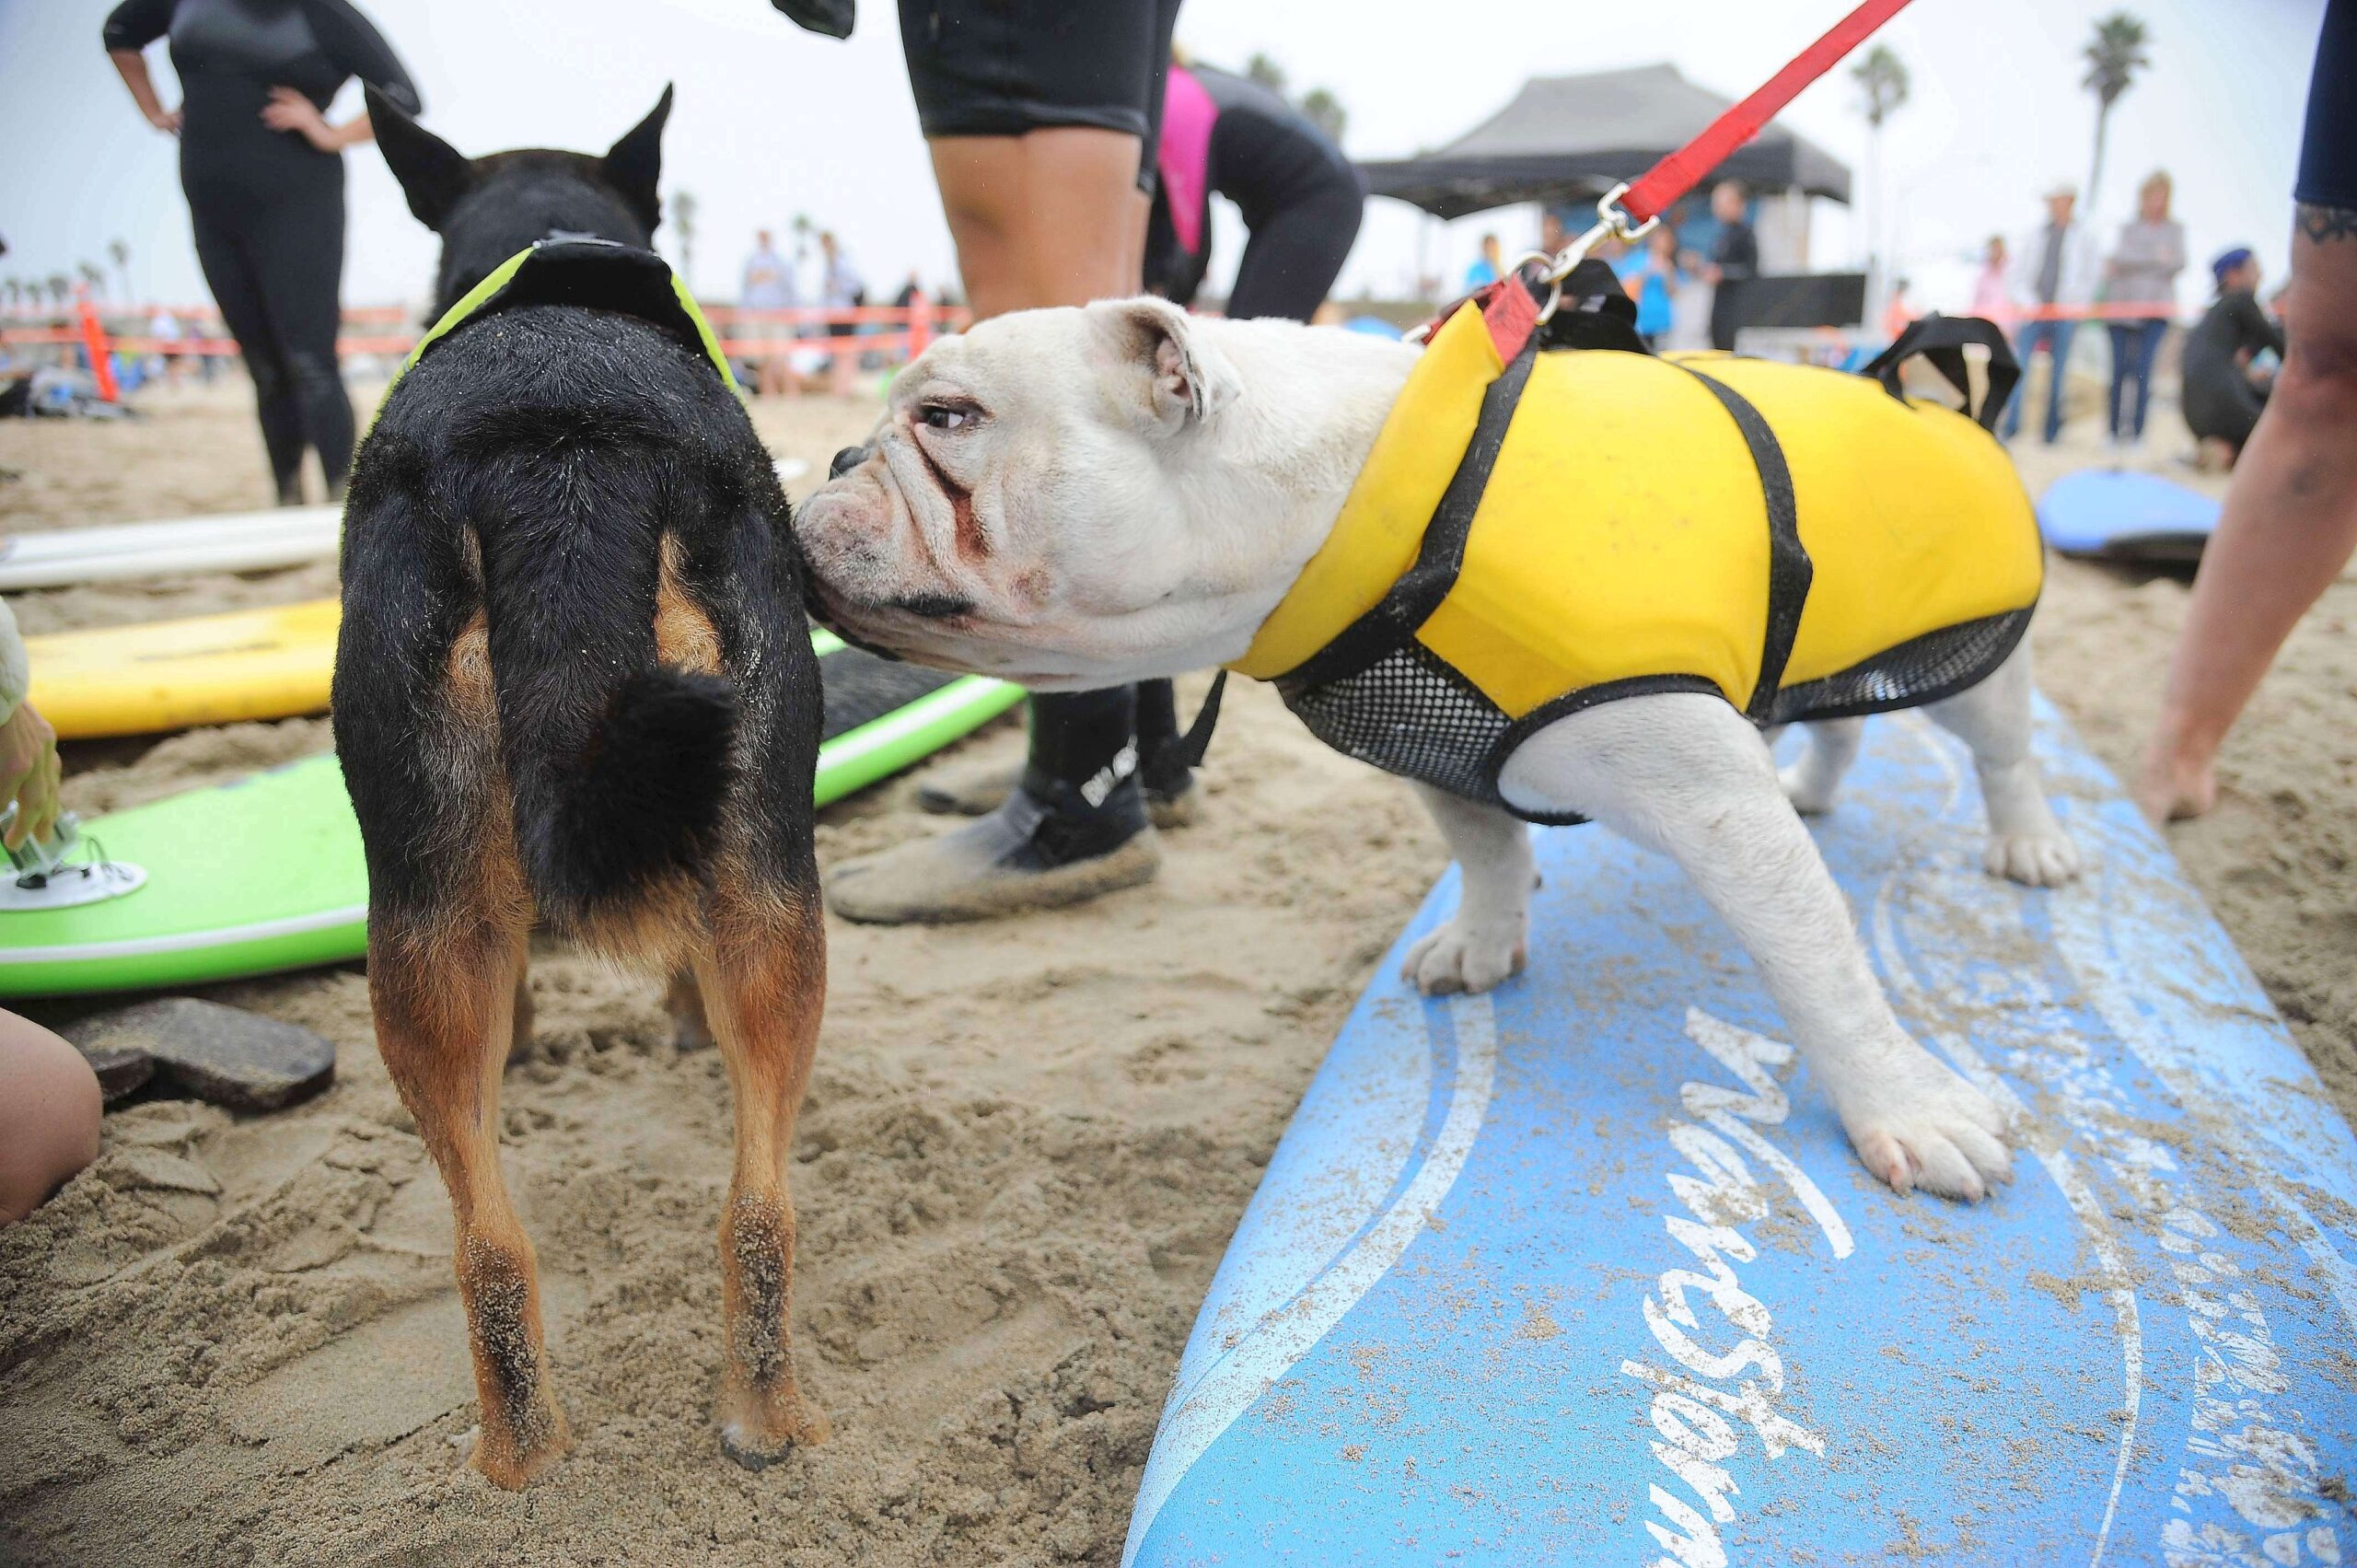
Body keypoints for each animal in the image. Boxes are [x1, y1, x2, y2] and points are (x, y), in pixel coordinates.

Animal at [331, 91, 830, 1490]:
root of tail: (565, 453)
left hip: (430, 913)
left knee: (492, 1231)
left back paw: (520, 1456)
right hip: (764, 887)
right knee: (750, 1209)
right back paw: (751, 1420)